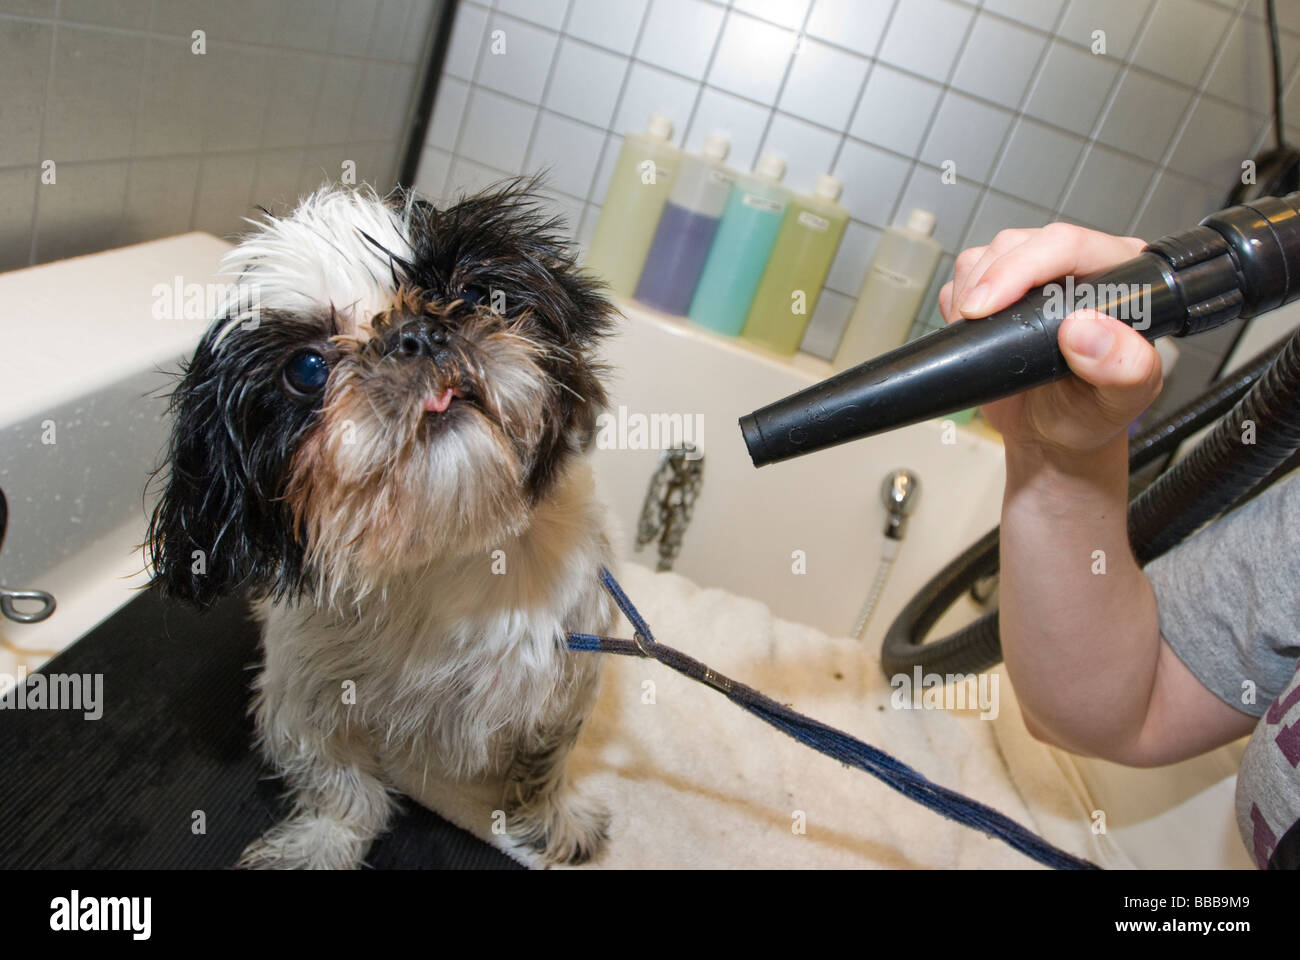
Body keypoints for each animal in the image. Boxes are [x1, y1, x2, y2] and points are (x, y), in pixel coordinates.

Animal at [144, 179, 621, 868]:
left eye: (474, 294)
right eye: (307, 369)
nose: (416, 335)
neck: (446, 559)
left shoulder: (567, 673)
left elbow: (548, 757)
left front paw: (553, 818)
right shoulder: (306, 694)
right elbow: (340, 783)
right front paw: (322, 843)